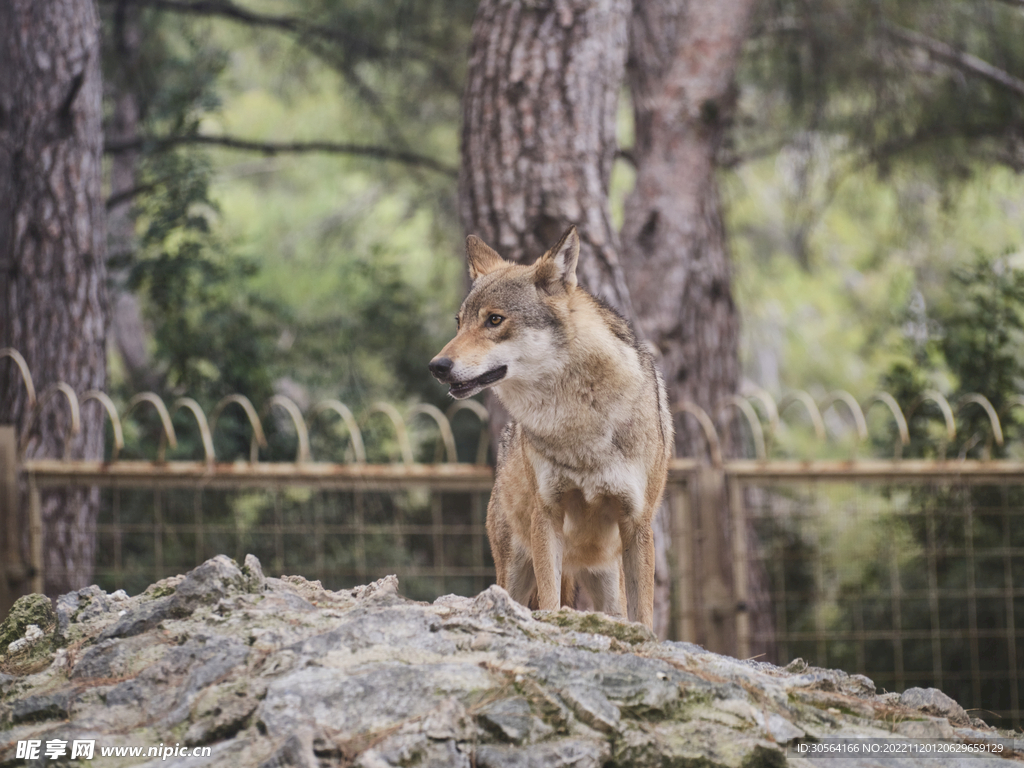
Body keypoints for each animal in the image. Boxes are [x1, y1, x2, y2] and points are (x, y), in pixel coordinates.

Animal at [430, 228, 675, 630]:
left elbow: (644, 617)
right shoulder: (547, 517)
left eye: (494, 320)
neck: (577, 419)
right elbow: (548, 603)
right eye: (459, 322)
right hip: (514, 570)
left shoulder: (637, 523)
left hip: (609, 584)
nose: (437, 366)